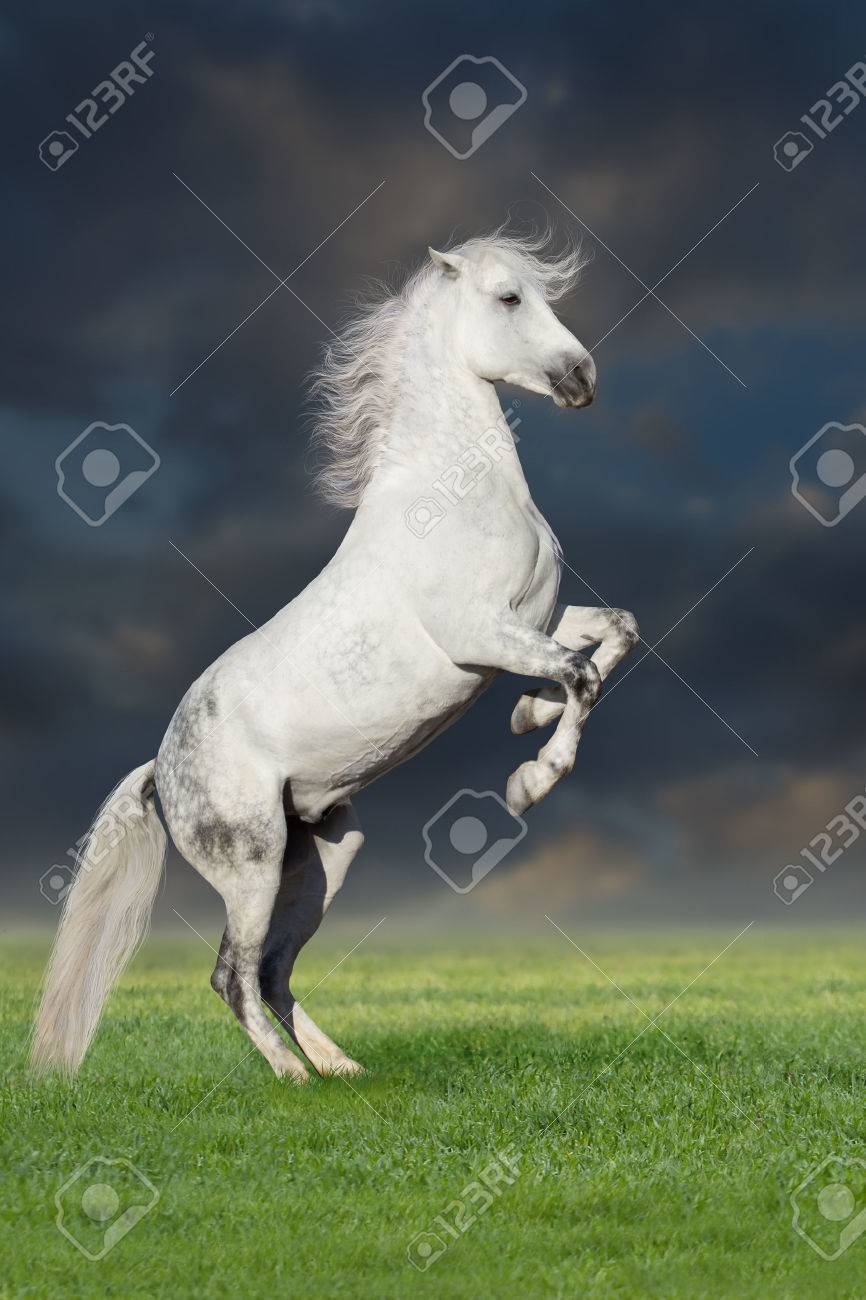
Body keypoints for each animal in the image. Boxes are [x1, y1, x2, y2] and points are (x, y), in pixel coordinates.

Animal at [32, 230, 639, 1083]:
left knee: (272, 970)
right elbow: (580, 675)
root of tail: (161, 770)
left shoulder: (538, 619)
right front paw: (530, 781)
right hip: (251, 865)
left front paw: (527, 715)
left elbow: (615, 633)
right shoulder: (482, 636)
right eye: (509, 298)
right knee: (231, 975)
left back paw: (339, 1069)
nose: (581, 378)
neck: (452, 495)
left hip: (324, 856)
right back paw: (291, 1078)